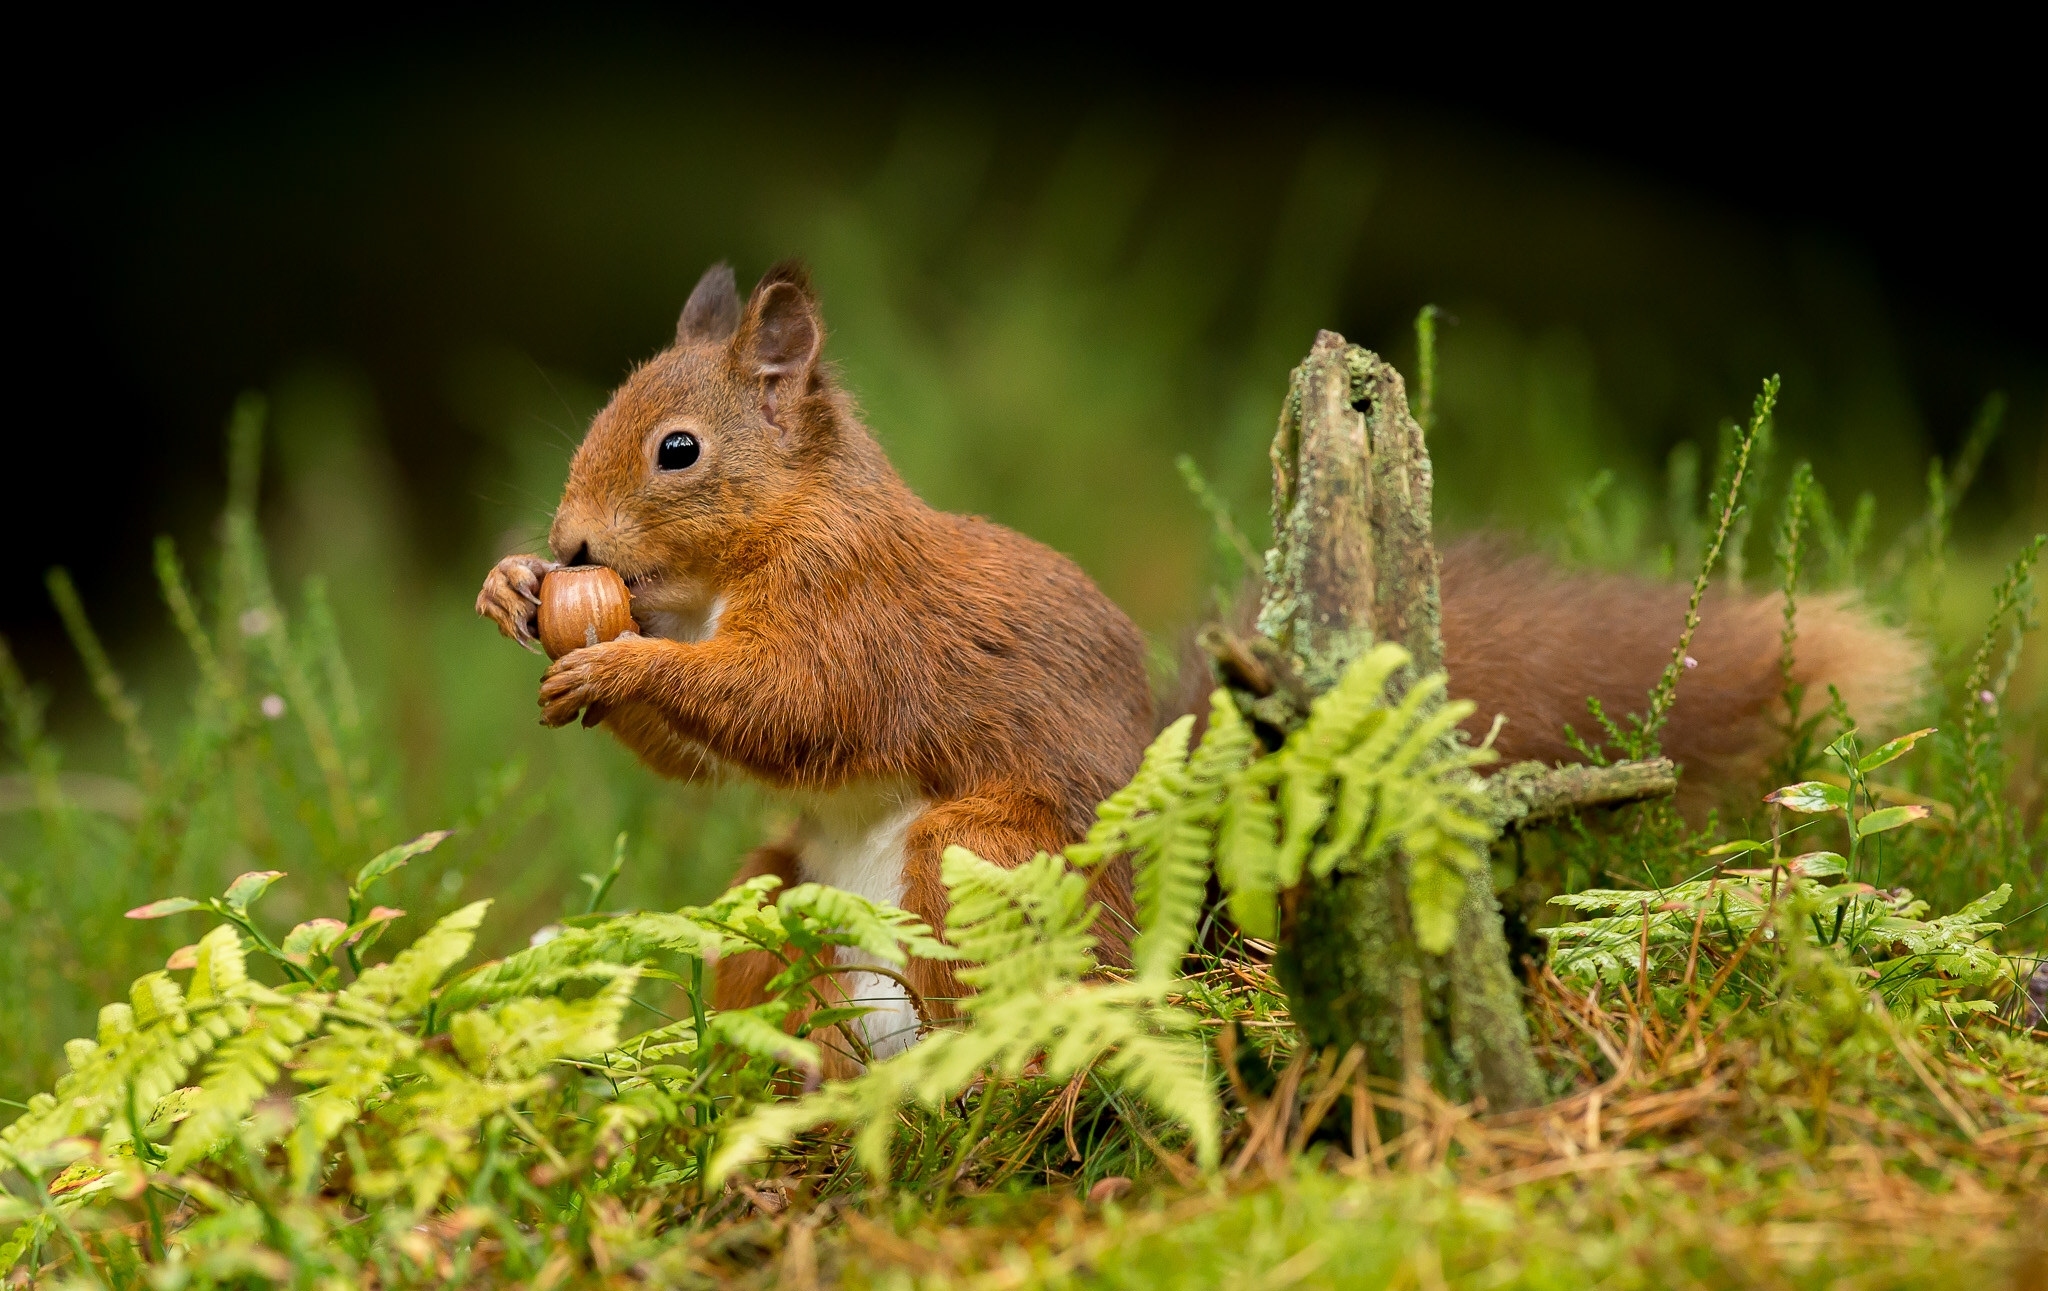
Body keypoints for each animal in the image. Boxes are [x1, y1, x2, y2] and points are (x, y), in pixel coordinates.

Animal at [471, 260, 1925, 1049]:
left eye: (678, 450)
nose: (570, 538)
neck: (762, 546)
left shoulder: (857, 615)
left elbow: (788, 706)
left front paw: (621, 665)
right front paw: (516, 589)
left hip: (980, 856)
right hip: (776, 895)